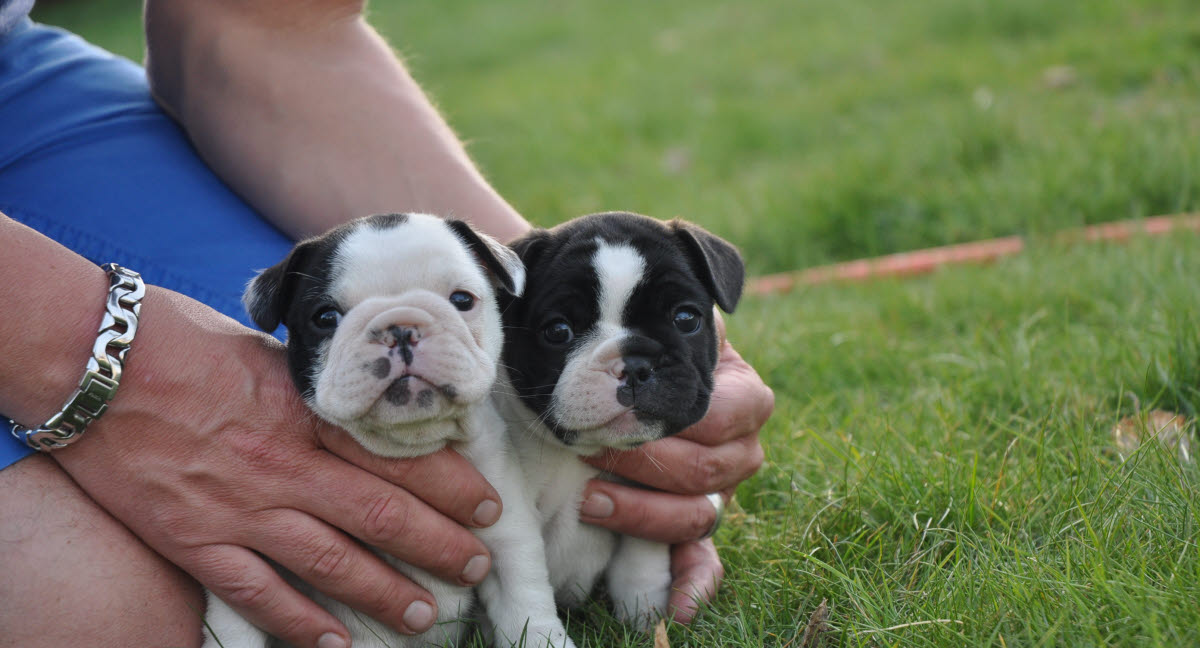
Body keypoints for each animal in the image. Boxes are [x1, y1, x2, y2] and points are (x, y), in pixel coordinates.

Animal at [204, 214, 573, 648]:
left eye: (462, 299)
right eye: (325, 318)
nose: (400, 327)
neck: (411, 442)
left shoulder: (506, 535)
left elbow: (526, 609)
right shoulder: (258, 561)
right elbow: (236, 627)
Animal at [494, 211, 739, 628]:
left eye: (686, 318)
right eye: (558, 331)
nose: (636, 365)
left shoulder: (647, 500)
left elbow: (640, 558)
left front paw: (644, 618)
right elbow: (522, 583)